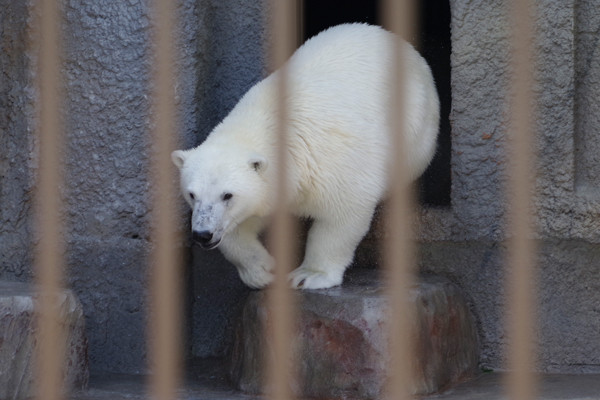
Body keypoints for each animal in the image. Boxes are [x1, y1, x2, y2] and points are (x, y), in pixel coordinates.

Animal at [171, 23, 438, 290]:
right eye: (192, 194)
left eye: (228, 195)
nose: (202, 235)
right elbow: (240, 225)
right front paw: (262, 270)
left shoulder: (331, 163)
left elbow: (341, 217)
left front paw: (309, 275)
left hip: (414, 126)